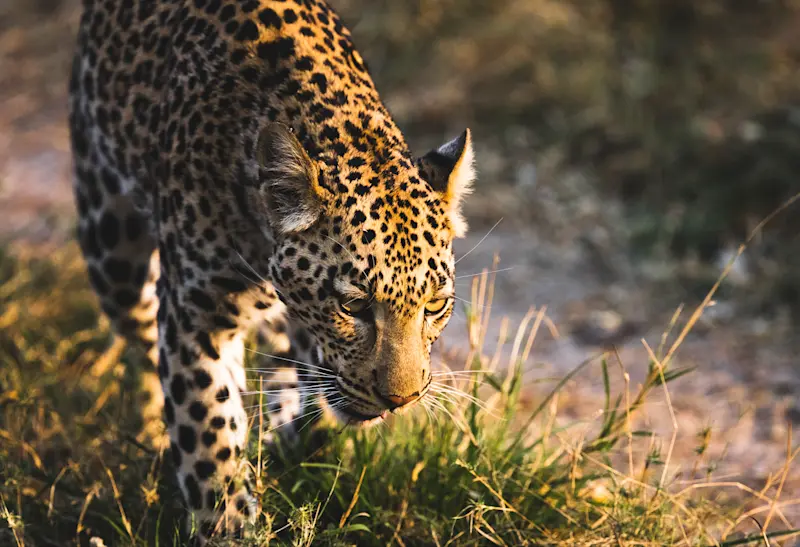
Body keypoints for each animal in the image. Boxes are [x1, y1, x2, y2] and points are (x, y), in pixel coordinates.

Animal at [68, 0, 475, 543]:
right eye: (353, 306)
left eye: (435, 306)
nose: (401, 400)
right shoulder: (197, 315)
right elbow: (209, 433)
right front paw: (228, 525)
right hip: (111, 249)